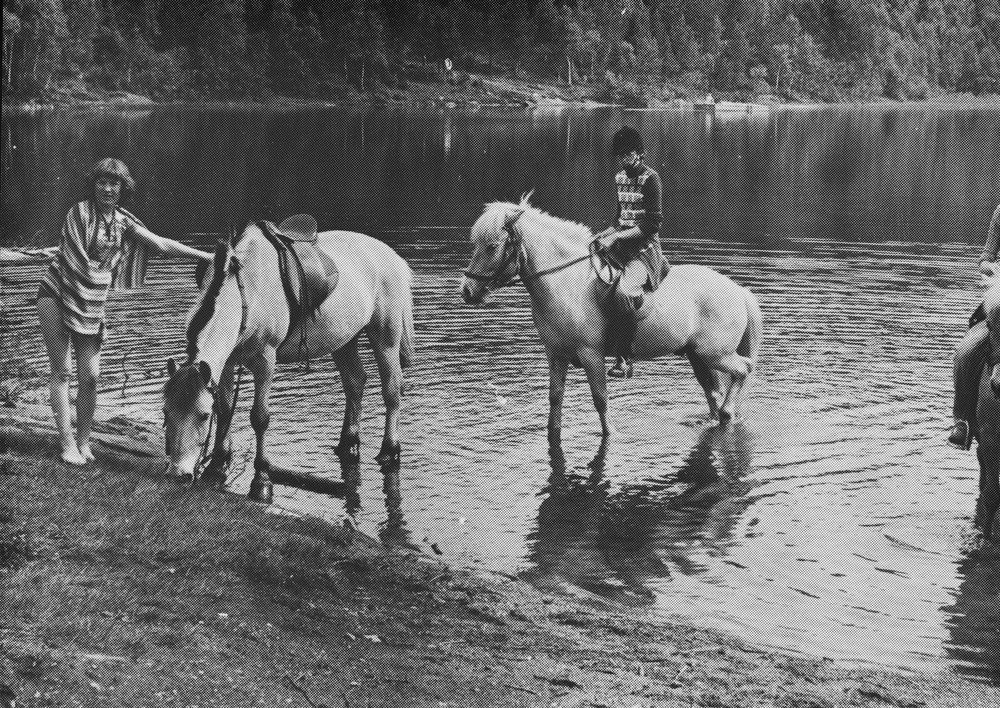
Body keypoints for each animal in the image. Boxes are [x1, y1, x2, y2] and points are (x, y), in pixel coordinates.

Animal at [164, 218, 414, 500]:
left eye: (203, 416)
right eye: (166, 411)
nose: (178, 474)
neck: (245, 291)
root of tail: (392, 256)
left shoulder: (265, 360)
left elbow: (259, 417)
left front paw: (261, 480)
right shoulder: (226, 363)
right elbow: (226, 410)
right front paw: (217, 465)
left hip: (386, 338)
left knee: (392, 390)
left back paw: (390, 450)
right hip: (344, 339)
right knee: (355, 382)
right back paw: (348, 442)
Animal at [458, 199, 760, 440]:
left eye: (492, 246)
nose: (467, 291)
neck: (566, 284)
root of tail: (737, 290)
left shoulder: (591, 354)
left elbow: (600, 398)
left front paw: (611, 433)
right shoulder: (556, 354)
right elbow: (555, 398)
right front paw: (553, 431)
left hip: (715, 353)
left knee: (743, 369)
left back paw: (728, 412)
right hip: (696, 354)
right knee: (713, 390)